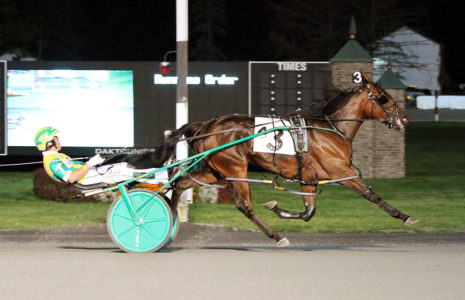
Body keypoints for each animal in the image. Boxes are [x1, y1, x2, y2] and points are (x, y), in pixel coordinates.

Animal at [113, 74, 416, 247]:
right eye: (383, 98)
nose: (403, 119)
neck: (331, 129)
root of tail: (206, 125)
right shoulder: (342, 171)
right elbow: (372, 195)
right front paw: (405, 216)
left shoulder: (309, 177)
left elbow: (309, 212)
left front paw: (278, 207)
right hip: (235, 167)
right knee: (243, 205)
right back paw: (276, 236)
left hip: (213, 171)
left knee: (180, 184)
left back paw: (168, 220)